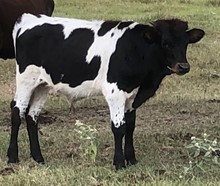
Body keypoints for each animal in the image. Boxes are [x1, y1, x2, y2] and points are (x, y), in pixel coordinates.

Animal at [6, 13, 205, 170]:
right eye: (165, 43)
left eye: (186, 43)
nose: (183, 66)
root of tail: (29, 18)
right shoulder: (114, 91)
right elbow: (119, 127)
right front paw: (119, 163)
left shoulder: (131, 96)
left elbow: (130, 126)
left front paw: (131, 159)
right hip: (25, 80)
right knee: (17, 111)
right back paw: (12, 157)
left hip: (42, 85)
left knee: (32, 116)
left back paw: (38, 158)